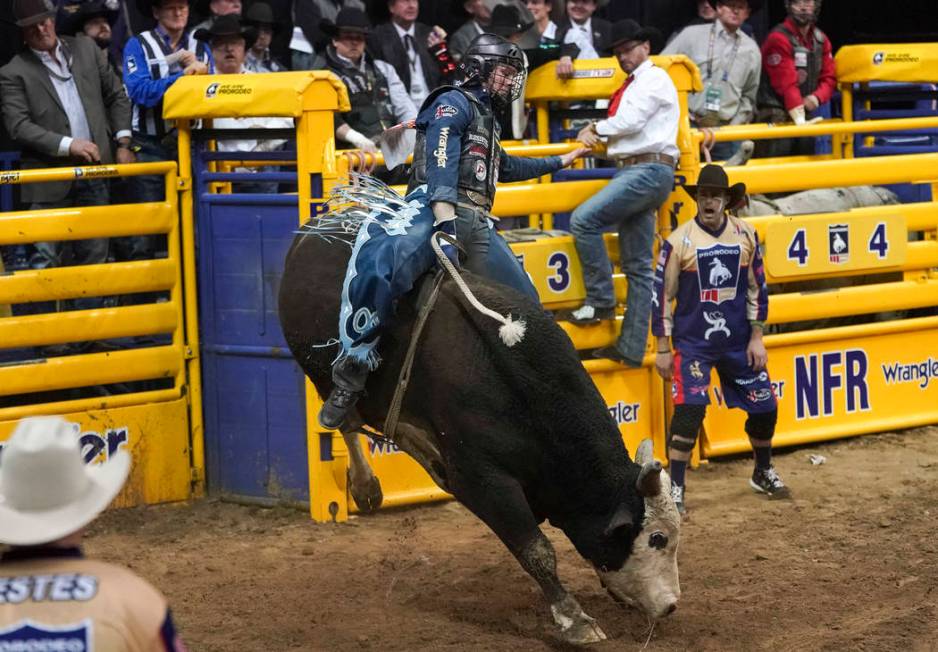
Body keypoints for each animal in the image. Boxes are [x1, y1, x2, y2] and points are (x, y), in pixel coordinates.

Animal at [278, 200, 680, 640]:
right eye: (656, 538)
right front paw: (575, 619)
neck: (523, 391)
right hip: (324, 374)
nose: (671, 605)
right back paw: (366, 484)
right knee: (345, 418)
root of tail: (315, 227)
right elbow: (537, 550)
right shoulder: (482, 479)